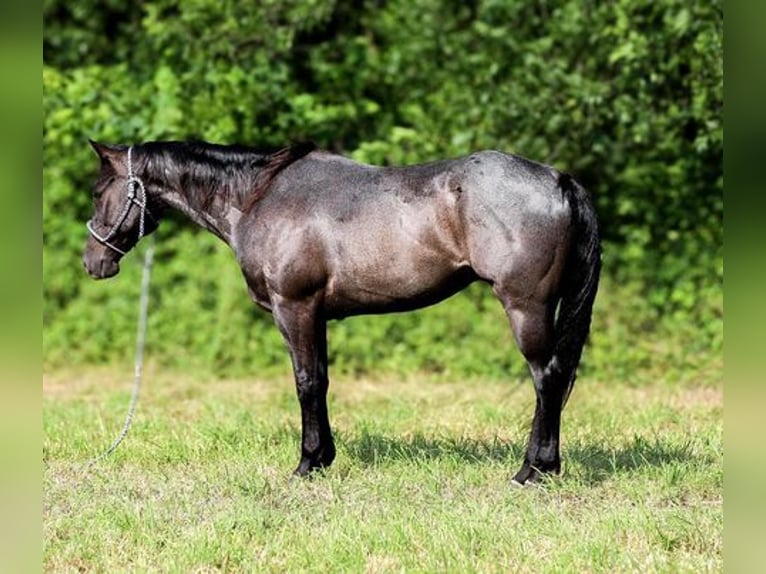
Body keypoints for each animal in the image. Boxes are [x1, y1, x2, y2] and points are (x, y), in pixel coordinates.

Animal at [82, 140, 600, 486]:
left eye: (98, 190)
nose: (93, 261)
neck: (258, 198)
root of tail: (558, 179)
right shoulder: (316, 315)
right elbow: (322, 381)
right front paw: (323, 458)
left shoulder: (294, 308)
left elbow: (306, 382)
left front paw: (307, 463)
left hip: (526, 307)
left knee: (547, 379)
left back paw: (533, 471)